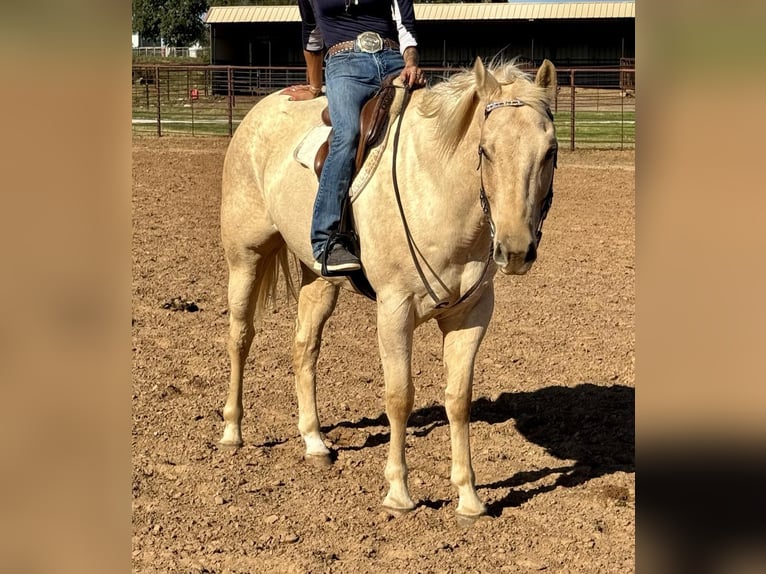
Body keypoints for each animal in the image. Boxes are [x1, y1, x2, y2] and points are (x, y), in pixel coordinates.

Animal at [219, 58, 560, 520]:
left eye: (550, 151)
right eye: (485, 150)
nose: (516, 250)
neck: (436, 191)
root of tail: (260, 111)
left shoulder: (471, 314)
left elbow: (458, 399)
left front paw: (469, 498)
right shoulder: (394, 309)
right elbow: (400, 396)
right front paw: (399, 493)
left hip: (318, 278)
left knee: (304, 348)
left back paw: (315, 442)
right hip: (245, 257)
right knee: (240, 337)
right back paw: (233, 431)